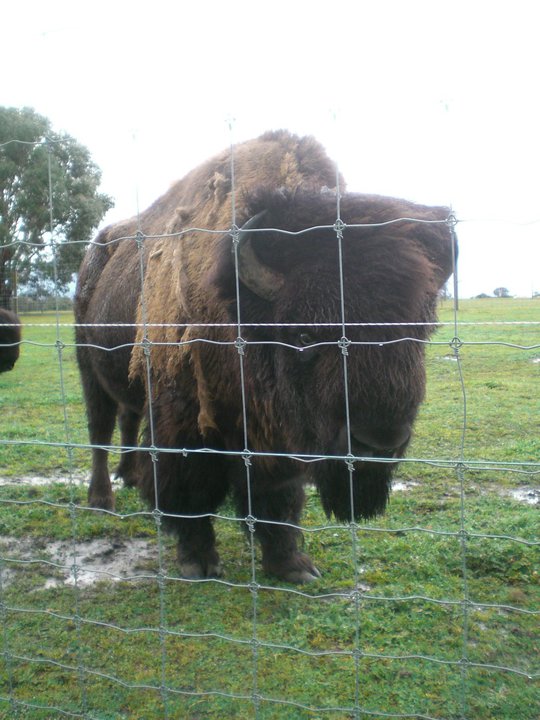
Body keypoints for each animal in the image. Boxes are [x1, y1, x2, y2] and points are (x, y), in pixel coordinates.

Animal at [75, 130, 456, 582]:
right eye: (304, 335)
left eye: (420, 335)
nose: (378, 445)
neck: (239, 311)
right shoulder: (181, 418)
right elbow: (188, 489)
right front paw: (198, 561)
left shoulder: (275, 437)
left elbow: (278, 499)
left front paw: (292, 565)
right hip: (87, 368)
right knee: (100, 429)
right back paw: (102, 499)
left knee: (127, 418)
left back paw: (131, 477)